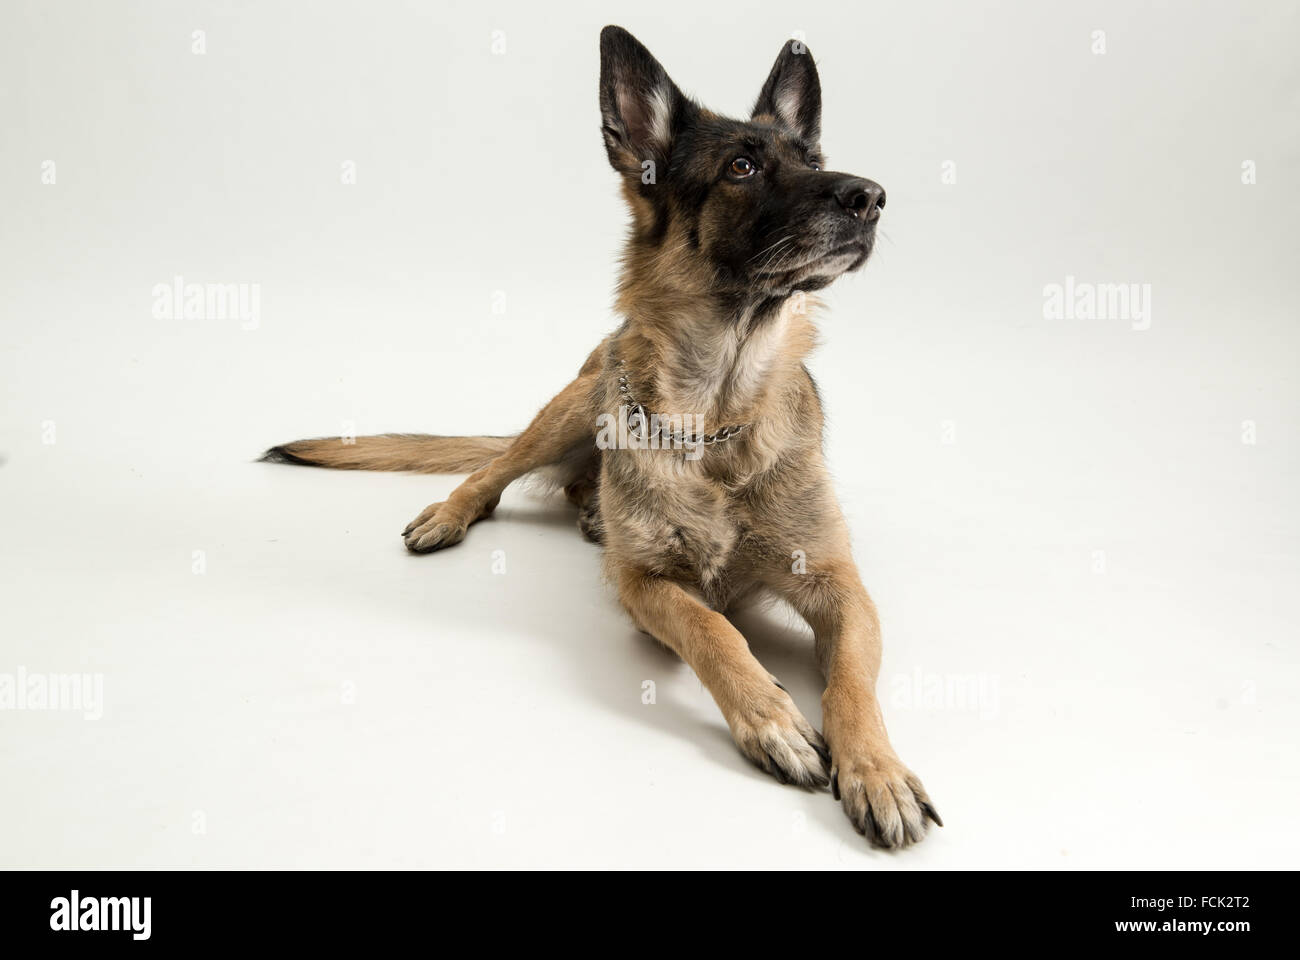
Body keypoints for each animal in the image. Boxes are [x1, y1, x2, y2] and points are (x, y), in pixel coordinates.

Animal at [263, 24, 941, 842]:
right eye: (742, 167)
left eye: (812, 161)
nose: (870, 197)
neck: (713, 420)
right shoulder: (643, 583)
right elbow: (715, 631)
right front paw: (772, 718)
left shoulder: (841, 586)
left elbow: (851, 684)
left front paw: (876, 770)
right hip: (572, 406)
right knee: (494, 470)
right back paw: (453, 513)